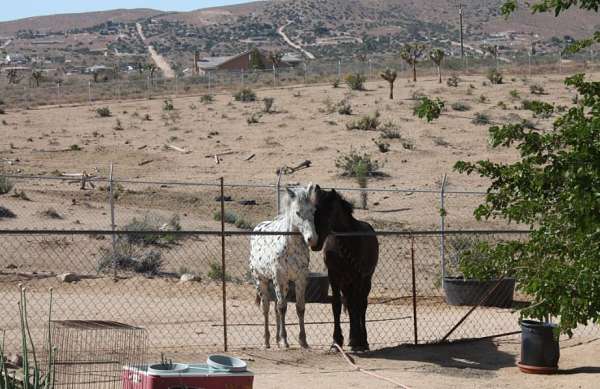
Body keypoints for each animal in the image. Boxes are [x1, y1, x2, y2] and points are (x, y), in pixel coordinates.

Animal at [312, 183, 378, 350]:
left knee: (361, 305)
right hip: (345, 283)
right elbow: (336, 305)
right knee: (349, 302)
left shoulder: (357, 277)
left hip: (365, 280)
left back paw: (362, 340)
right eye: (314, 209)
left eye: (330, 210)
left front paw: (356, 340)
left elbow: (356, 306)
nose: (315, 242)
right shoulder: (334, 276)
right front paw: (336, 341)